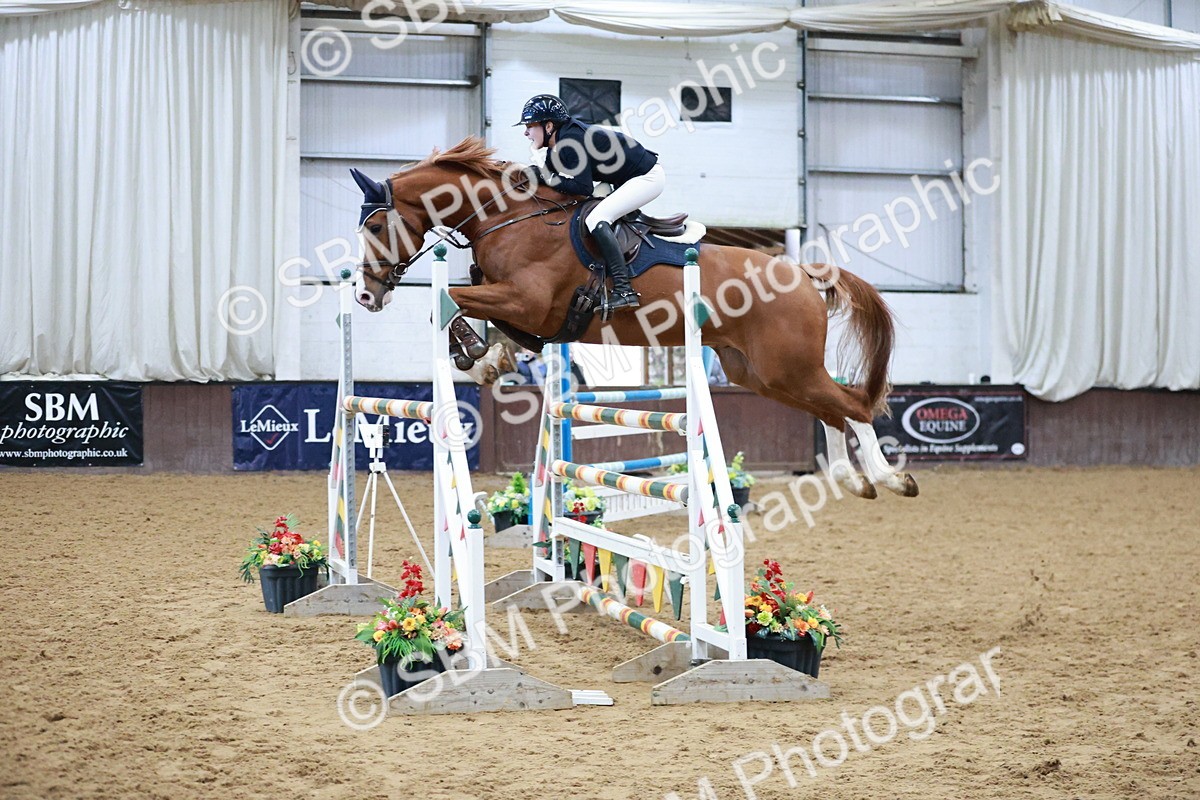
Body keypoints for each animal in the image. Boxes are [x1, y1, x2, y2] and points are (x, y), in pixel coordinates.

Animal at [349, 136, 917, 498]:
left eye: (376, 226)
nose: (364, 296)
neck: (508, 218)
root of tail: (800, 273)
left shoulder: (526, 300)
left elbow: (449, 301)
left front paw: (475, 355)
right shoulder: (533, 316)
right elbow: (476, 313)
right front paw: (488, 358)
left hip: (789, 367)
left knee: (853, 405)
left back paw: (891, 479)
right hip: (759, 373)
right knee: (832, 411)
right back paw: (852, 479)